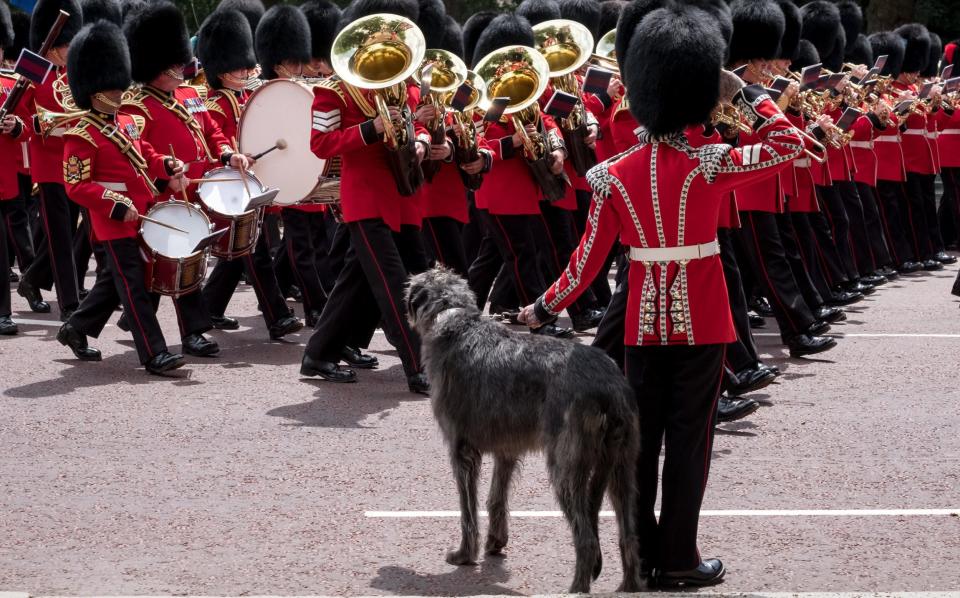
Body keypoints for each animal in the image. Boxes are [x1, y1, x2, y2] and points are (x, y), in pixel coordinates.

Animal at [404, 268, 644, 596]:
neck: (453, 318)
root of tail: (610, 386)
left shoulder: (462, 449)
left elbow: (468, 507)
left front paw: (465, 554)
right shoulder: (506, 448)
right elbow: (496, 496)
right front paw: (495, 542)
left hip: (566, 465)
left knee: (586, 538)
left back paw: (576, 587)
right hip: (623, 463)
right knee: (628, 531)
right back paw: (629, 585)